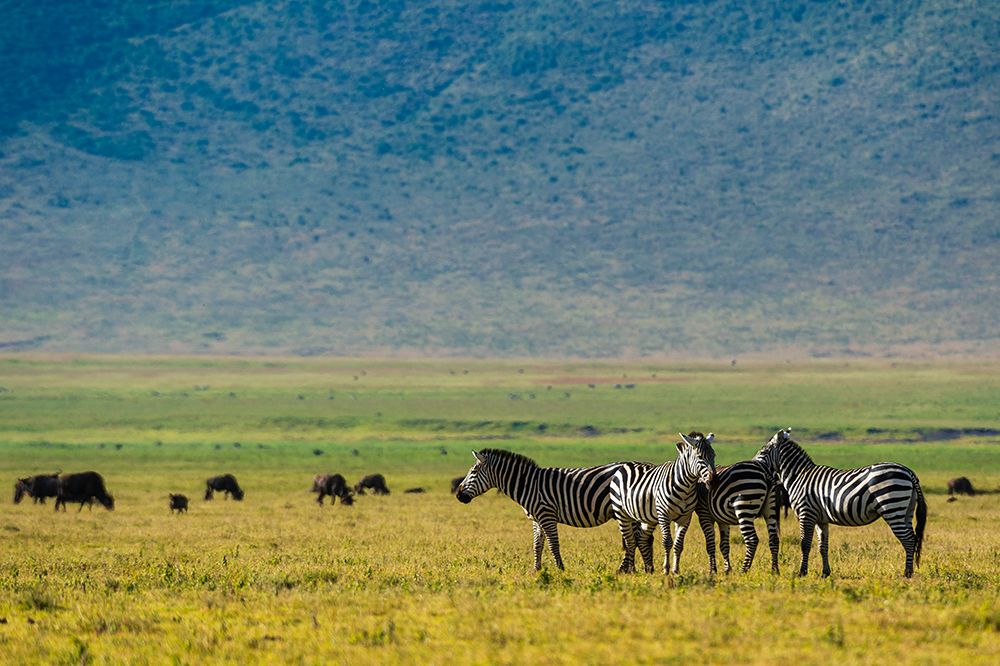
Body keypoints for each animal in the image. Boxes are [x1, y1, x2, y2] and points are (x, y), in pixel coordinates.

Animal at [455, 448, 652, 571]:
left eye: (473, 472)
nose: (458, 495)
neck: (528, 484)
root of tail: (644, 464)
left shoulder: (546, 515)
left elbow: (553, 544)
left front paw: (560, 568)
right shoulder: (536, 519)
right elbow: (537, 545)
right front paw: (536, 570)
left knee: (636, 539)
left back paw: (629, 569)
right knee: (638, 539)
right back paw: (638, 569)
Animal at [609, 432, 716, 574]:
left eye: (714, 455)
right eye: (699, 457)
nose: (714, 481)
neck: (686, 487)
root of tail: (627, 465)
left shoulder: (685, 518)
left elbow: (678, 544)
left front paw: (675, 570)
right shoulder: (663, 514)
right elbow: (667, 542)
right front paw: (666, 569)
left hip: (647, 519)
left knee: (640, 539)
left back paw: (649, 569)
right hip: (622, 514)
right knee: (630, 541)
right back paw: (630, 570)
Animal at [754, 428, 927, 578]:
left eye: (763, 452)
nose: (752, 464)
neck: (799, 476)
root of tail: (908, 472)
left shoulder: (806, 514)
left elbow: (805, 544)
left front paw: (802, 572)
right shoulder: (821, 519)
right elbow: (822, 547)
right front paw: (825, 573)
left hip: (893, 507)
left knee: (908, 539)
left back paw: (907, 573)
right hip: (906, 511)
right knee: (913, 538)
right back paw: (909, 571)